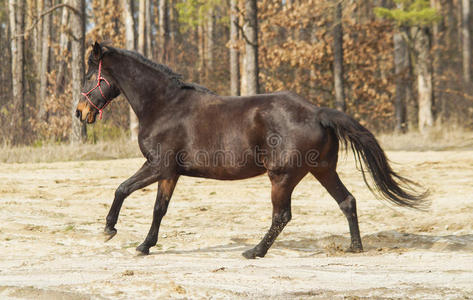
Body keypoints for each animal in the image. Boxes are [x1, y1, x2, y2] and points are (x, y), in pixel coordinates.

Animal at [74, 42, 428, 258]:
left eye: (90, 75)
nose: (80, 113)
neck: (164, 105)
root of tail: (317, 112)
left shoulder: (158, 166)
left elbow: (122, 189)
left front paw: (109, 229)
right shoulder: (170, 173)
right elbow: (158, 209)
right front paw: (145, 245)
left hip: (282, 177)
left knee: (282, 215)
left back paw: (255, 251)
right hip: (323, 170)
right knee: (347, 201)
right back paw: (355, 247)